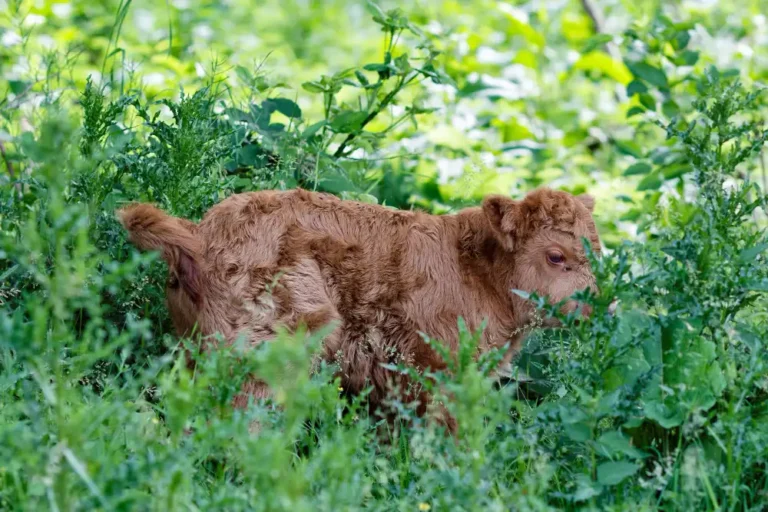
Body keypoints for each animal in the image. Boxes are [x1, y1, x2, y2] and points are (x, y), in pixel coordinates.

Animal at [118, 188, 600, 420]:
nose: (600, 305)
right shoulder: (439, 372)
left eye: (596, 251)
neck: (477, 269)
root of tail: (200, 235)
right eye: (556, 256)